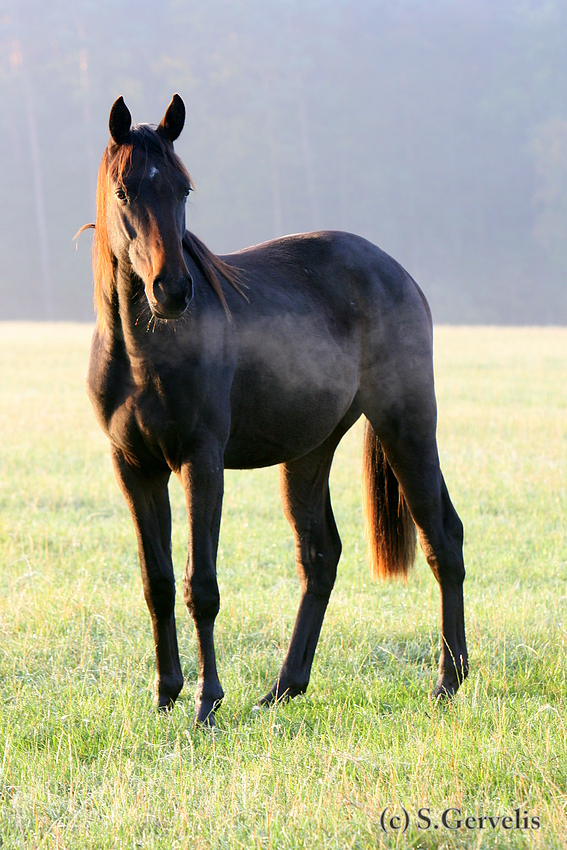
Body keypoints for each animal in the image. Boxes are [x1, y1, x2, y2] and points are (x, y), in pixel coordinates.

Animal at [82, 96, 468, 724]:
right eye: (123, 191)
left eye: (184, 190)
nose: (173, 291)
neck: (143, 353)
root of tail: (398, 274)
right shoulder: (134, 467)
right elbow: (156, 582)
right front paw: (165, 695)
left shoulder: (200, 462)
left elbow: (201, 585)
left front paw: (206, 703)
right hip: (310, 452)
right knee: (320, 556)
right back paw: (285, 686)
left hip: (407, 425)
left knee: (442, 540)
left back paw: (447, 681)